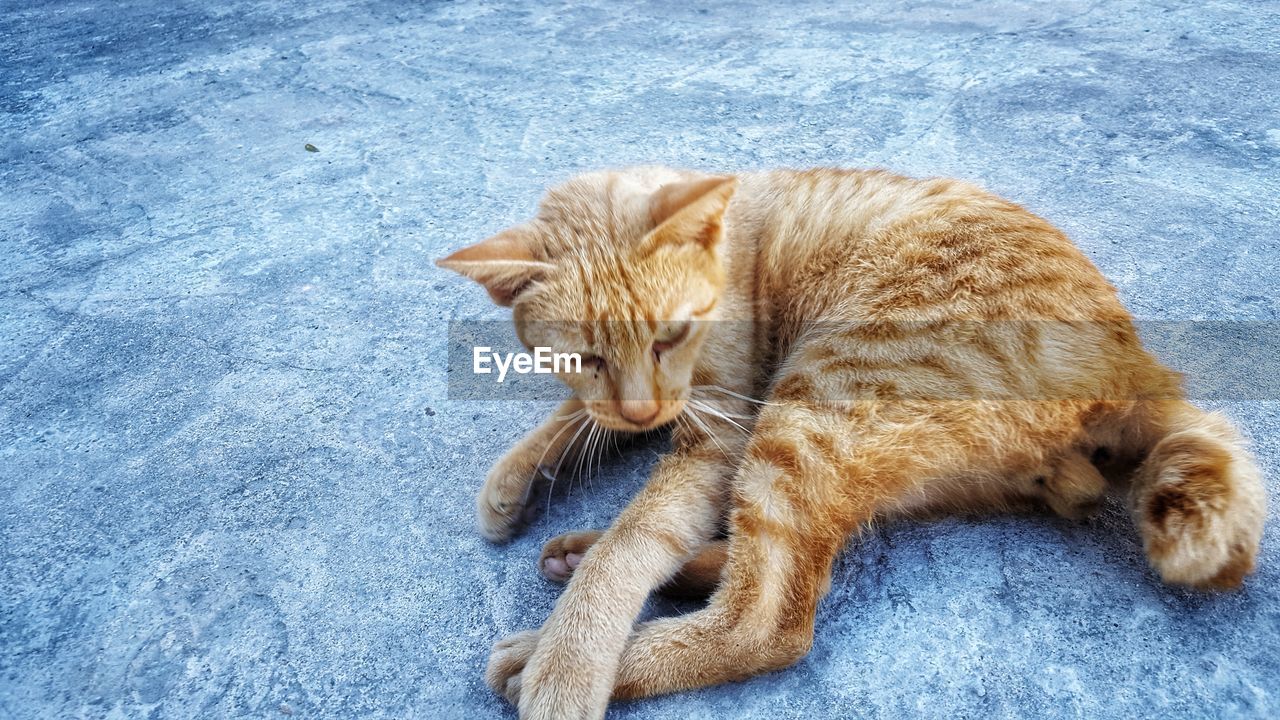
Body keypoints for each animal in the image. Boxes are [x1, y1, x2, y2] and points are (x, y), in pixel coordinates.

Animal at [435, 166, 1264, 717]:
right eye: (584, 358)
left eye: (670, 335)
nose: (643, 410)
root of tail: (1133, 359)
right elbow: (578, 422)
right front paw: (520, 475)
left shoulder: (721, 432)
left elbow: (640, 535)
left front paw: (571, 661)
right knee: (810, 551)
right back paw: (577, 553)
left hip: (816, 402)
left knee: (769, 616)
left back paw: (548, 646)